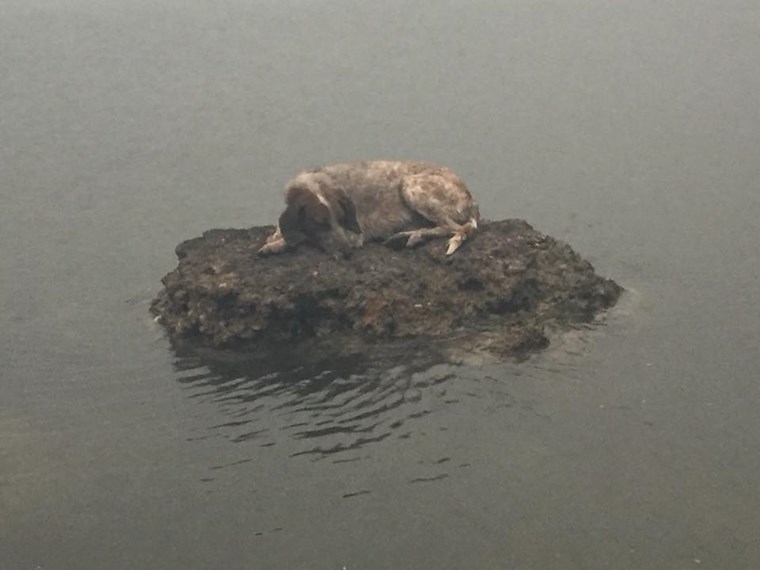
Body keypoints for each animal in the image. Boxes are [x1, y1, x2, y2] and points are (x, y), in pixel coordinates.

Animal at [258, 161, 478, 256]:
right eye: (318, 223)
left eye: (341, 219)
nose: (347, 251)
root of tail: (471, 200)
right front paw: (275, 238)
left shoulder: (354, 235)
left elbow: (303, 239)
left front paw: (276, 244)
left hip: (410, 185)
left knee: (455, 228)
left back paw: (411, 235)